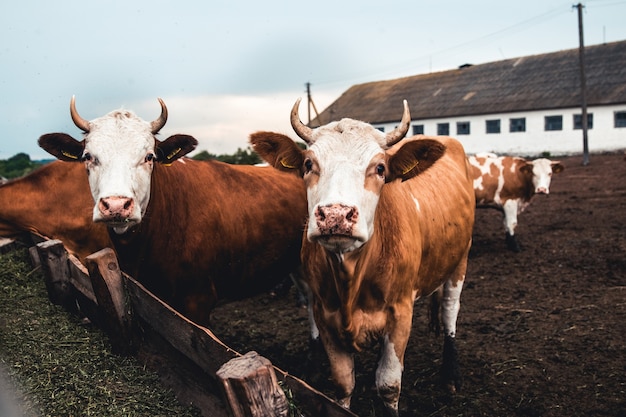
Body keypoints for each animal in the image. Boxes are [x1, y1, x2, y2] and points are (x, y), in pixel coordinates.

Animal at [249, 99, 472, 414]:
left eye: (380, 168)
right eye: (308, 164)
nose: (335, 215)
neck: (351, 278)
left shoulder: (401, 312)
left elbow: (389, 385)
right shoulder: (325, 314)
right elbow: (343, 384)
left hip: (460, 260)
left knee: (450, 310)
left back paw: (450, 375)